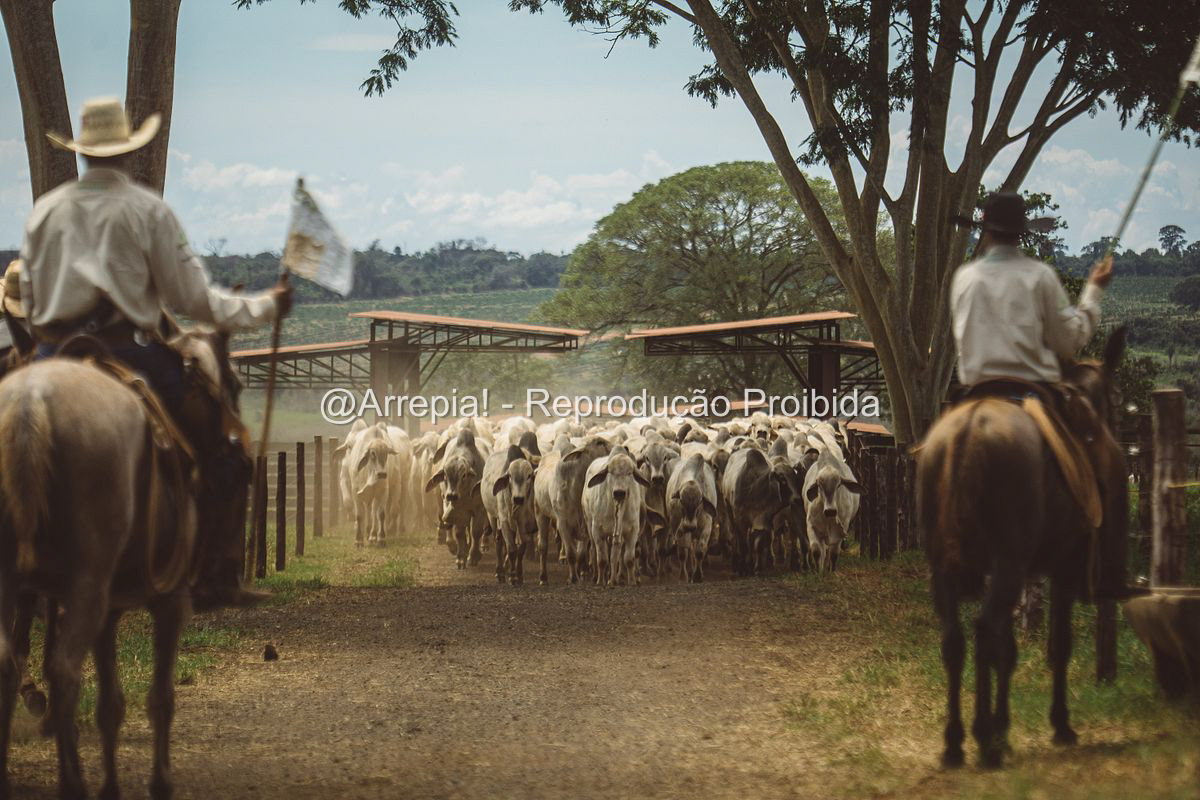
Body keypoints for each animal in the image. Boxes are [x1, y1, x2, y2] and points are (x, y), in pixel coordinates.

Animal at [0, 327, 250, 800]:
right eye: (235, 383)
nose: (237, 442)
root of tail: (32, 402)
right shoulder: (170, 602)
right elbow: (160, 697)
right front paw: (159, 781)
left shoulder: (109, 610)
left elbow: (110, 705)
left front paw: (112, 785)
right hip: (85, 587)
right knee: (62, 671)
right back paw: (72, 782)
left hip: (23, 586)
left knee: (11, 662)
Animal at [915, 327, 1129, 769]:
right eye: (1115, 400)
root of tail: (967, 432)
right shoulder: (1060, 568)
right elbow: (1059, 645)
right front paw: (1059, 726)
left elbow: (1008, 649)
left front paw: (1004, 729)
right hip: (1009, 562)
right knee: (982, 631)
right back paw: (983, 742)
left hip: (944, 567)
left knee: (955, 640)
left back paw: (955, 743)